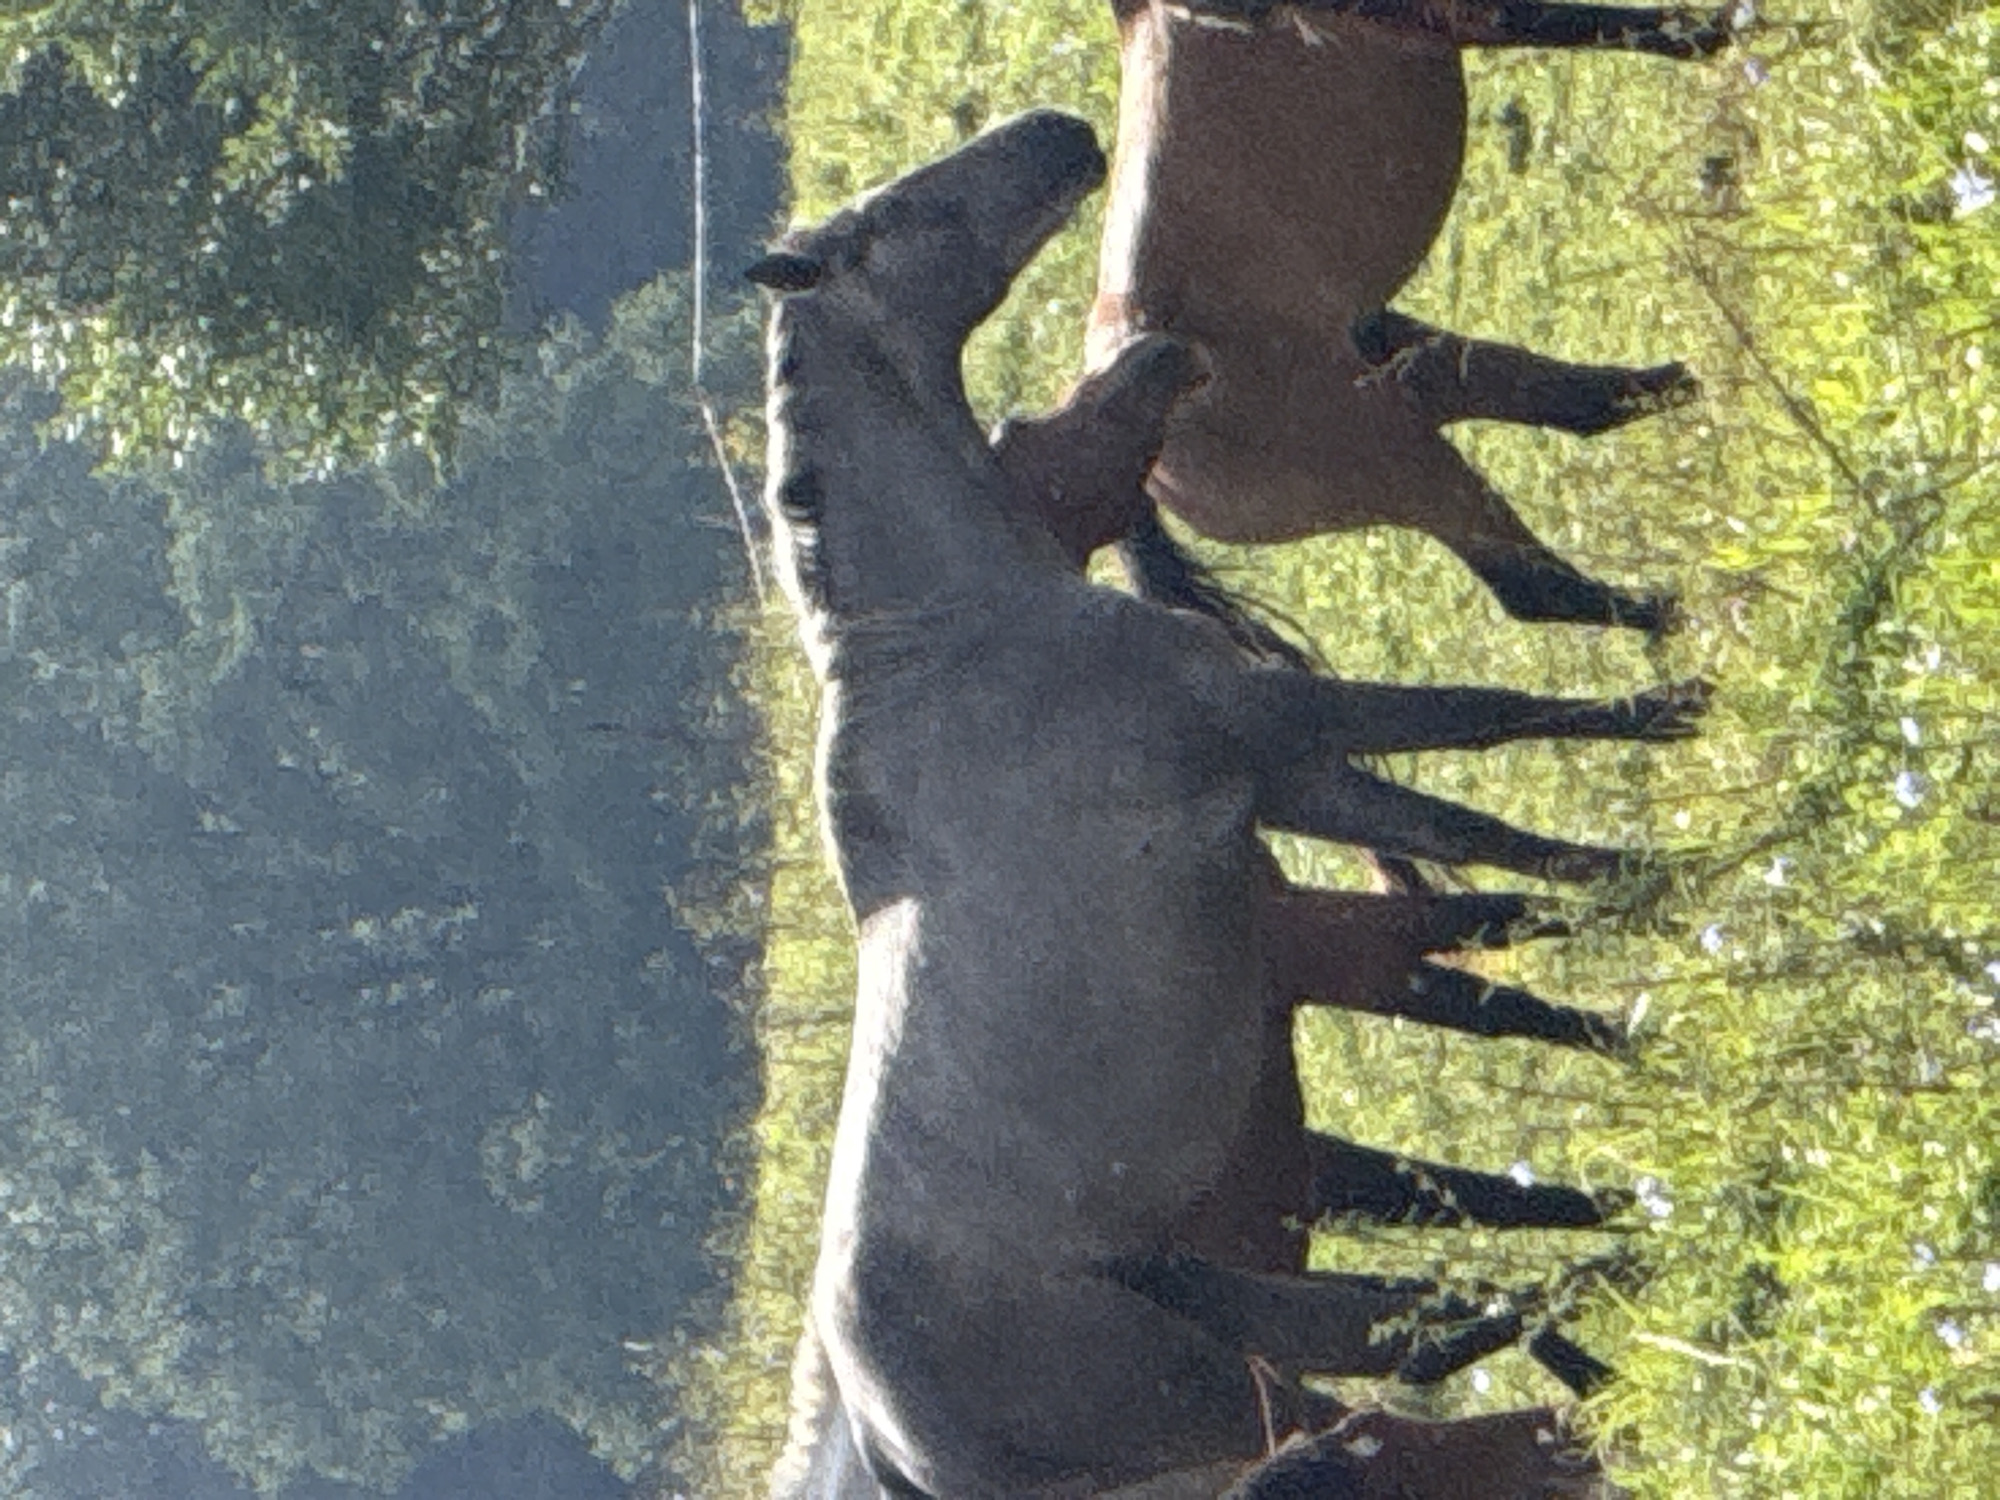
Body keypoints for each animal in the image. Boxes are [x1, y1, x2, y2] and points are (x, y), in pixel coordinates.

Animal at [747, 108, 1698, 1495]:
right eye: (893, 215)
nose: (1057, 132)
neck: (953, 638)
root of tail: (897, 1436)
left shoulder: (1287, 780)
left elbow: (1486, 853)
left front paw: (1654, 900)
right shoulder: (1281, 731)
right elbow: (1479, 717)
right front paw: (1679, 723)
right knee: (1427, 1368)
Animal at [1087, 0, 1733, 631]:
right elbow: (1580, 22)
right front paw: (1717, 31)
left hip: (1418, 380)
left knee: (1578, 405)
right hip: (1403, 460)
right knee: (1531, 583)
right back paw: (1687, 616)